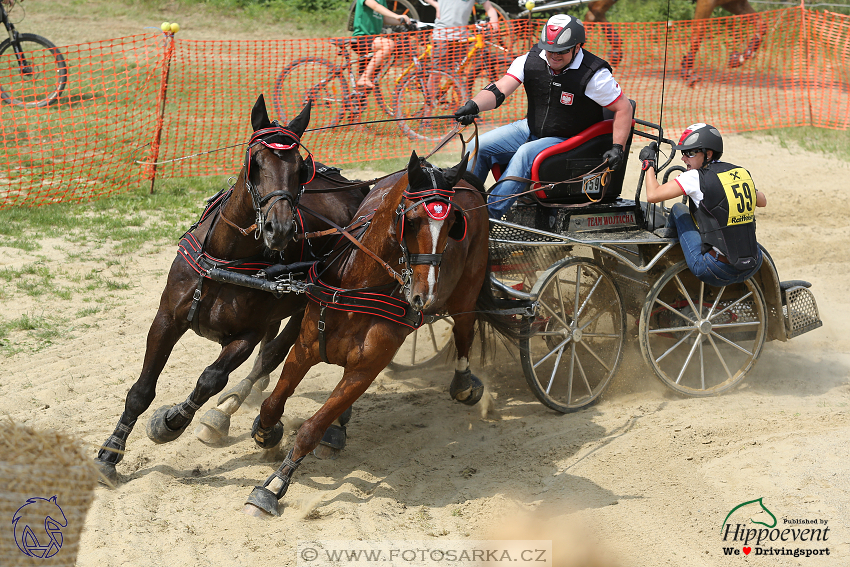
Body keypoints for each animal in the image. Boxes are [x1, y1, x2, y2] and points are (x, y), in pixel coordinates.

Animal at [93, 95, 364, 486]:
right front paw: (110, 453)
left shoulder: (245, 334)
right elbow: (141, 390)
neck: (225, 259)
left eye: (301, 169)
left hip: (311, 306)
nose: (281, 229)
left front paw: (171, 423)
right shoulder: (166, 318)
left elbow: (211, 378)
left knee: (275, 353)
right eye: (255, 162)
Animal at [240, 152, 516, 520]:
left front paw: (273, 487)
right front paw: (265, 431)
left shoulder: (364, 370)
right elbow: (272, 403)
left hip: (468, 287)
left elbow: (311, 429)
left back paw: (463, 383)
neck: (358, 288)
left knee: (464, 328)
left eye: (452, 226)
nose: (424, 295)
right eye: (410, 221)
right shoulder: (305, 349)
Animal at [580, 0, 764, 85]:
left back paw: (614, 52)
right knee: (594, 9)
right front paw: (688, 73)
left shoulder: (733, 2)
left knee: (594, 11)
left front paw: (739, 58)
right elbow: (698, 33)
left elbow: (762, 26)